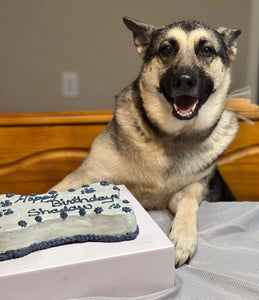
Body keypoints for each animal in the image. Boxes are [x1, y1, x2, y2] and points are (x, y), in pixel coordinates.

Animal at [53, 17, 243, 266]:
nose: (184, 81)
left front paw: (183, 238)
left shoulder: (191, 188)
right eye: (166, 49)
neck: (172, 136)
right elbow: (54, 191)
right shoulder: (84, 176)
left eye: (206, 50)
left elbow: (188, 202)